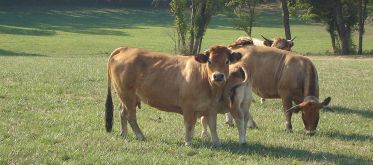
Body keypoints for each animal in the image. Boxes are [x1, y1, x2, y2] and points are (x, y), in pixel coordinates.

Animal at [104, 45, 244, 146]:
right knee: (131, 116)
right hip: (127, 95)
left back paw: (124, 133)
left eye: (227, 61)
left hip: (125, 96)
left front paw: (216, 141)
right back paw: (140, 135)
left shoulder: (211, 108)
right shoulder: (188, 106)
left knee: (122, 112)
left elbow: (212, 125)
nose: (218, 76)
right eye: (209, 61)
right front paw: (188, 141)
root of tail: (125, 49)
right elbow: (189, 124)